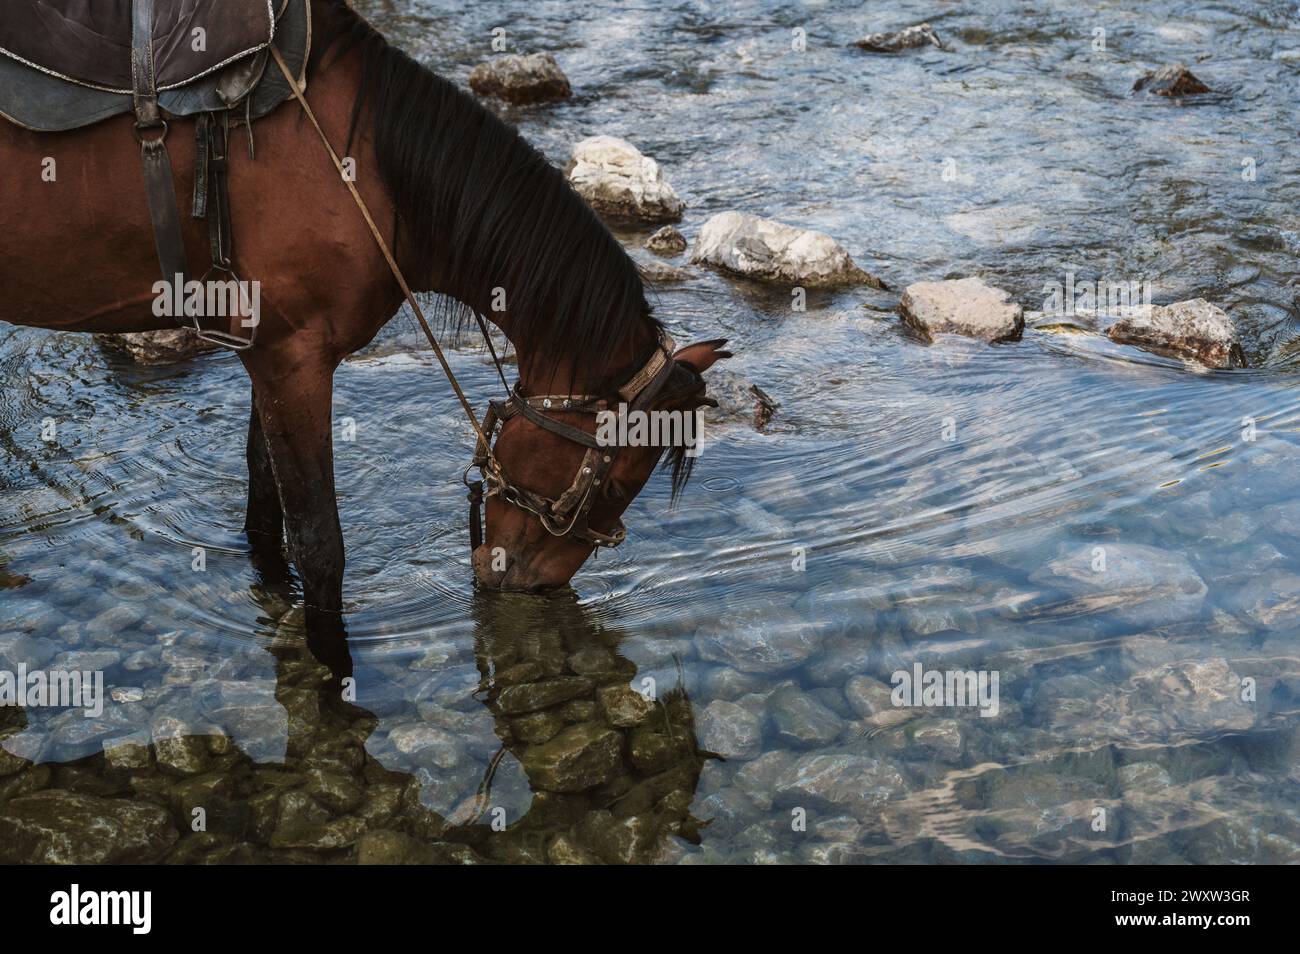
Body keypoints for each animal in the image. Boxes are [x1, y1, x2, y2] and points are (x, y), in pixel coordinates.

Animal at [0, 0, 730, 616]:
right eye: (612, 487)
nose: (530, 584)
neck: (366, 170)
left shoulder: (271, 357)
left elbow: (264, 511)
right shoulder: (293, 358)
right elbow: (319, 545)